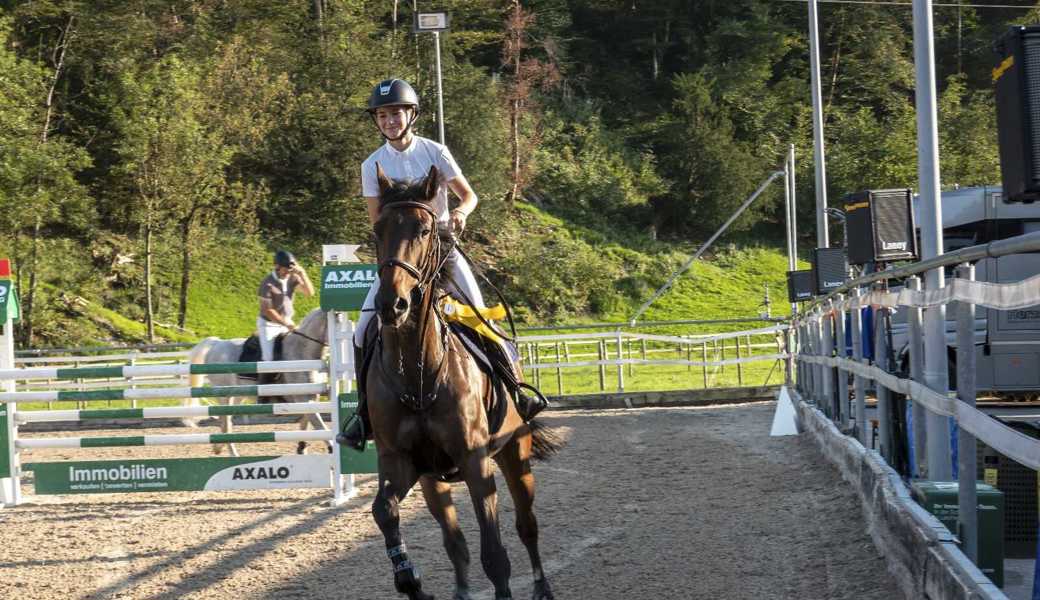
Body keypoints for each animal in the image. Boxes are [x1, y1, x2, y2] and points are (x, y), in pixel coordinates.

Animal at [187, 305, 330, 455]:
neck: (301, 350)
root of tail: (216, 343)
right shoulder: (303, 398)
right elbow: (320, 426)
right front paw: (330, 447)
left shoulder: (311, 398)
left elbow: (307, 422)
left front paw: (302, 448)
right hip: (224, 395)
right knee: (225, 423)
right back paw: (232, 453)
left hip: (237, 395)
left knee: (226, 422)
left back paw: (218, 447)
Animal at [366, 164, 561, 598]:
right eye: (377, 229)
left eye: (424, 229)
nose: (391, 304)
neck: (418, 373)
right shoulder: (402, 463)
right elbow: (384, 510)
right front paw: (409, 578)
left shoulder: (475, 461)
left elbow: (496, 553)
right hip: (432, 481)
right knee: (454, 541)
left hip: (515, 454)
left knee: (527, 526)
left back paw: (542, 587)